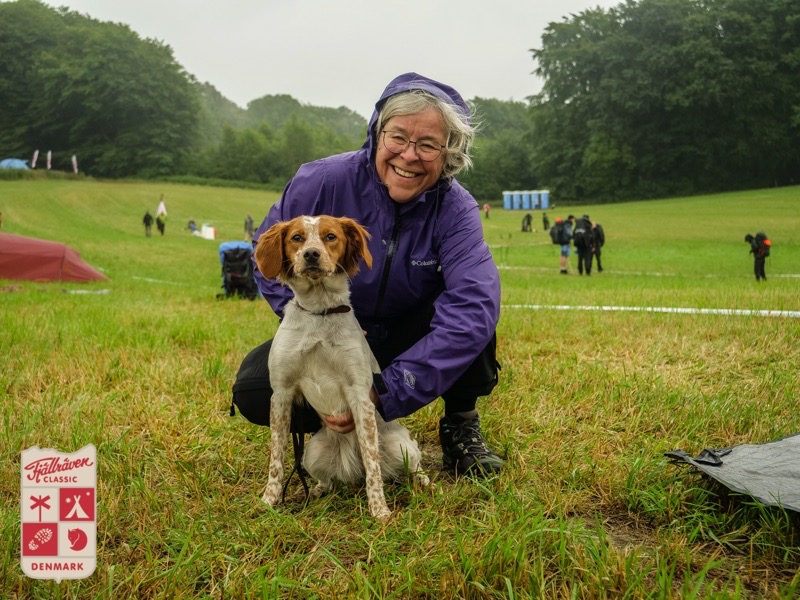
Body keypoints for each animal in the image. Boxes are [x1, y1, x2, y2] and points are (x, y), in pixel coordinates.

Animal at [256, 216, 432, 520]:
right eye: (297, 238)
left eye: (330, 236)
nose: (311, 254)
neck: (319, 312)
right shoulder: (281, 394)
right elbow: (276, 458)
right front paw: (269, 500)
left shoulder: (359, 394)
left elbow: (372, 463)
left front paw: (380, 510)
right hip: (312, 451)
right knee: (325, 478)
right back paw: (314, 491)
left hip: (402, 446)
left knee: (405, 467)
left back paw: (424, 482)